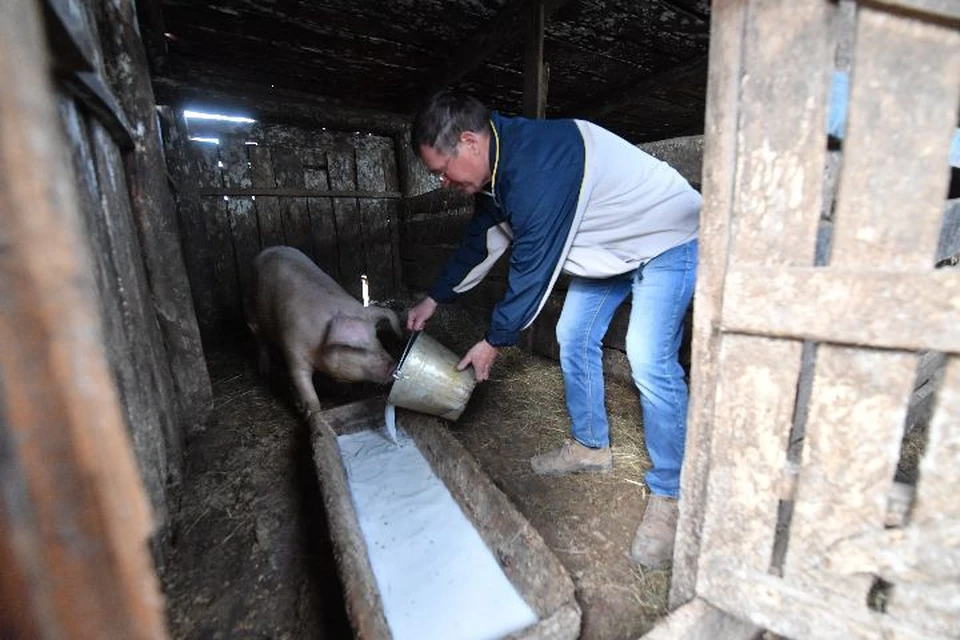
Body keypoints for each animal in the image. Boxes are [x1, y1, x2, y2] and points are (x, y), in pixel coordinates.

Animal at [246, 246, 404, 420]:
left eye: (377, 338)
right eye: (357, 348)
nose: (393, 365)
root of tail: (268, 249)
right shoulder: (293, 350)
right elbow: (304, 387)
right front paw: (312, 414)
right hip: (253, 311)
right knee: (259, 338)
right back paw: (264, 371)